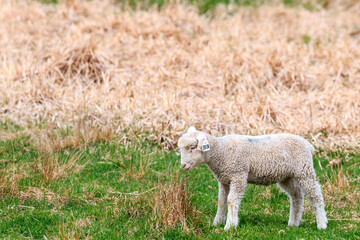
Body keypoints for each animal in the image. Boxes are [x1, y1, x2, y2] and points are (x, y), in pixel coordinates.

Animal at [176, 127, 328, 231]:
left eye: (193, 147)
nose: (183, 165)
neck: (221, 151)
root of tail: (308, 144)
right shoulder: (224, 179)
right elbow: (221, 201)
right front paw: (217, 223)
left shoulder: (238, 175)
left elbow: (232, 200)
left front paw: (230, 225)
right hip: (287, 176)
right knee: (296, 195)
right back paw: (293, 223)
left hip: (304, 169)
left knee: (315, 196)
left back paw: (322, 224)